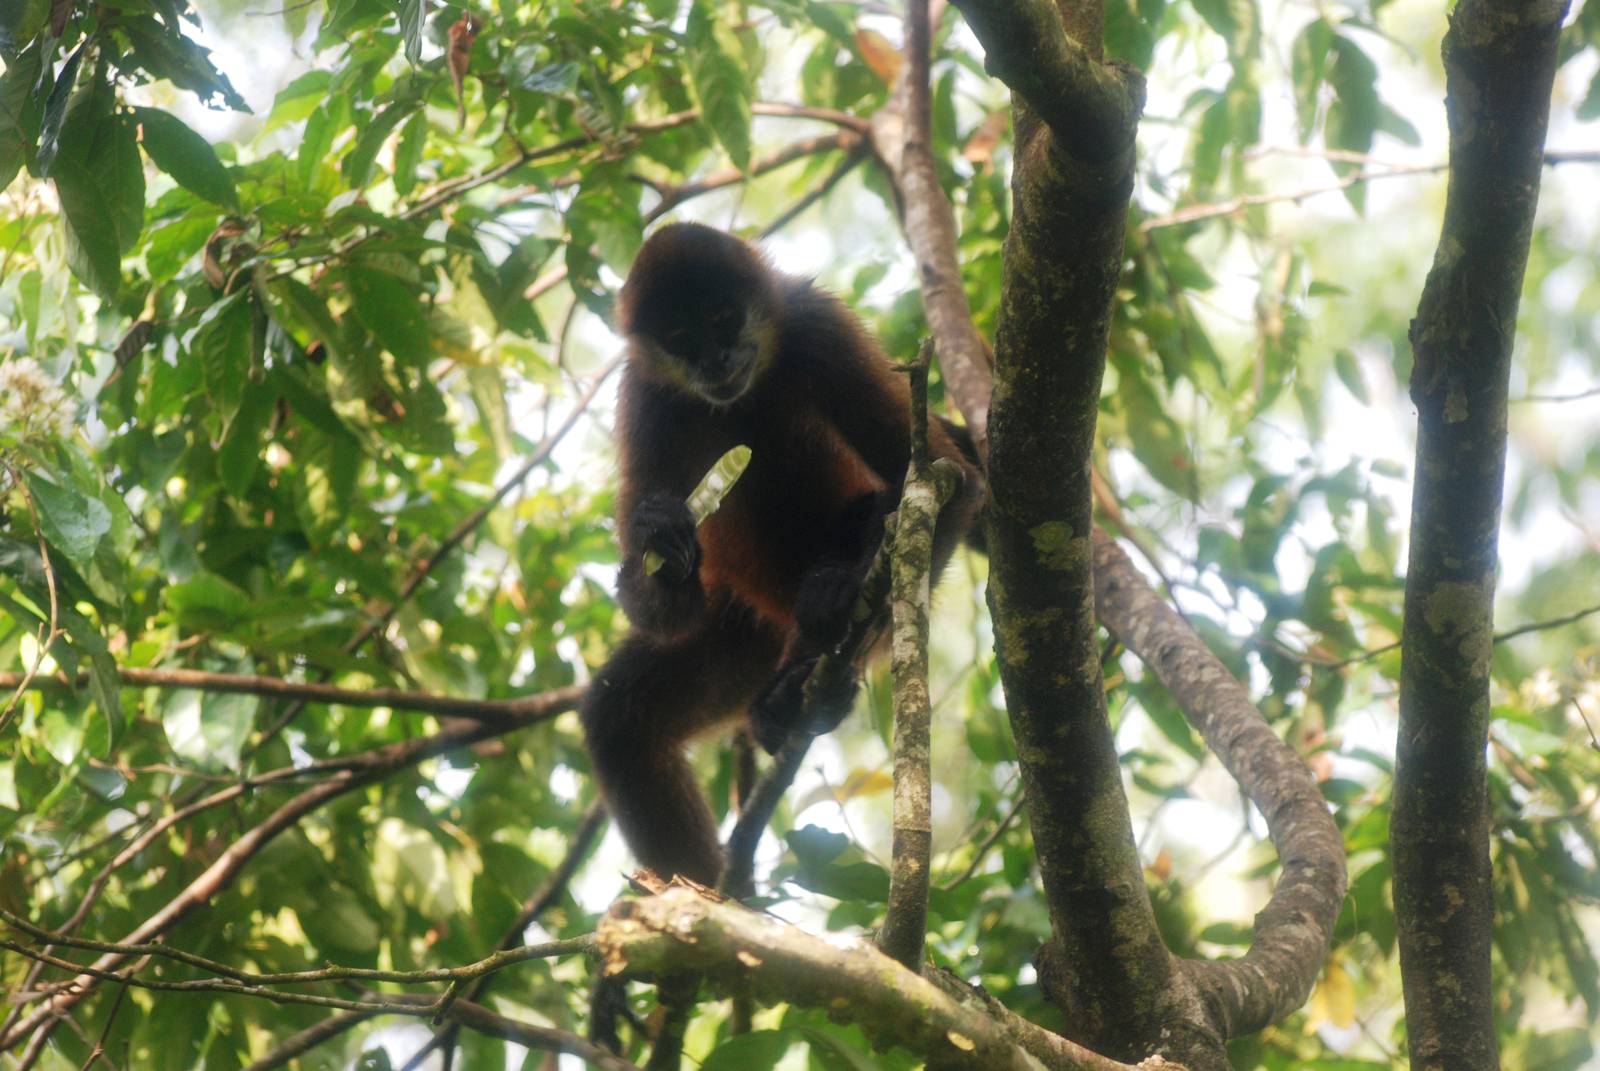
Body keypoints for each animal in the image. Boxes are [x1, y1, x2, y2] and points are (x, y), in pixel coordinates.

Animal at [579, 222, 984, 887]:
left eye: (723, 319)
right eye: (681, 340)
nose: (714, 361)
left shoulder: (817, 324)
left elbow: (954, 488)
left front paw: (838, 597)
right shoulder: (645, 395)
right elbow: (658, 610)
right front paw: (658, 535)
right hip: (736, 631)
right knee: (616, 719)